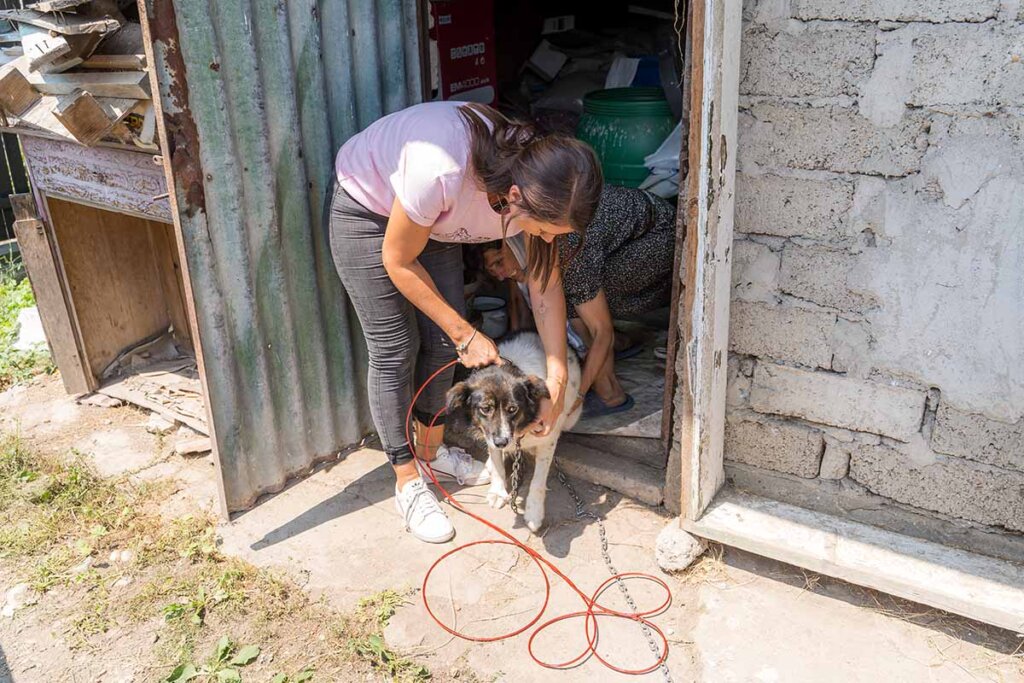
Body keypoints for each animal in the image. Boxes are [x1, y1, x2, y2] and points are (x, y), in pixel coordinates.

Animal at [444, 331, 581, 532]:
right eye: (485, 408)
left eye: (512, 409)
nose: (502, 442)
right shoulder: (490, 435)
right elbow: (498, 464)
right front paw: (498, 491)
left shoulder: (547, 439)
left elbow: (538, 480)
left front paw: (534, 512)